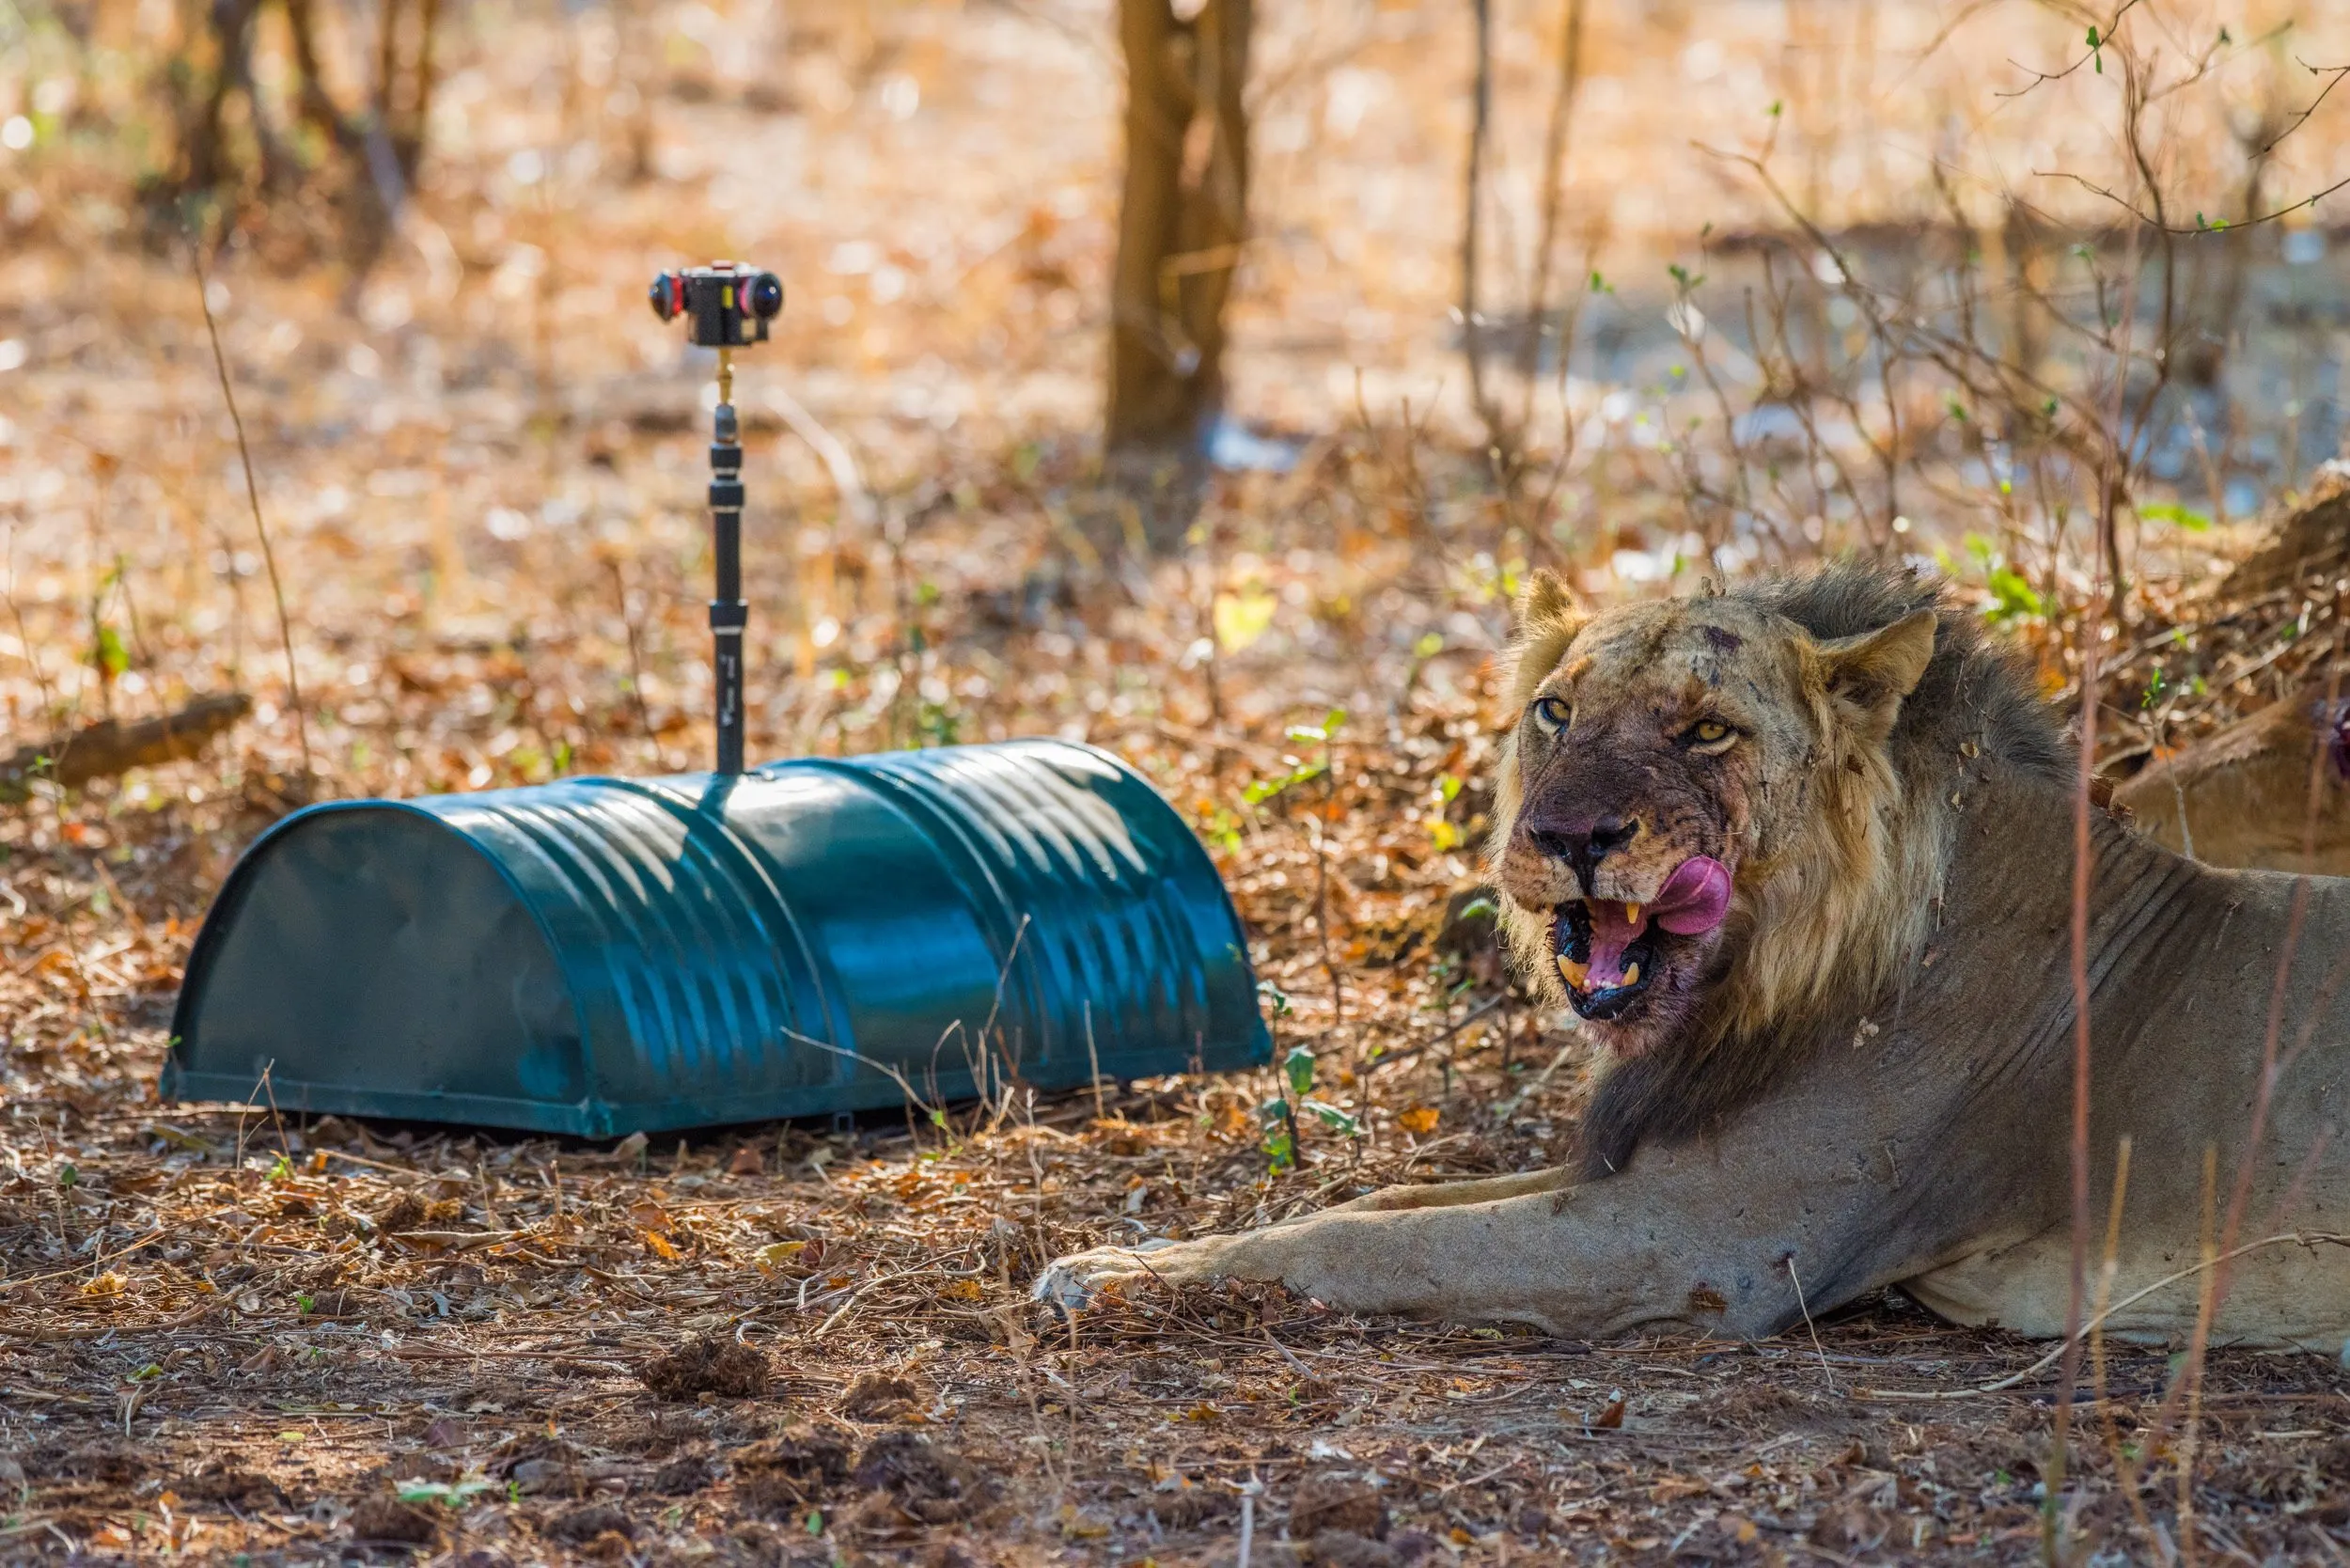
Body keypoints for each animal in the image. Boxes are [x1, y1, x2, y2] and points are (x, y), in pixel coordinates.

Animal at [1039, 564, 2350, 1349]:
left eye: (1707, 730)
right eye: (1556, 712)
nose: (1567, 835)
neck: (1764, 985)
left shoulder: (1708, 1242)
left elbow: (1365, 1239)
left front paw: (1107, 1273)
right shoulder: (1638, 1168)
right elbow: (1391, 1197)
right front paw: (1128, 1254)